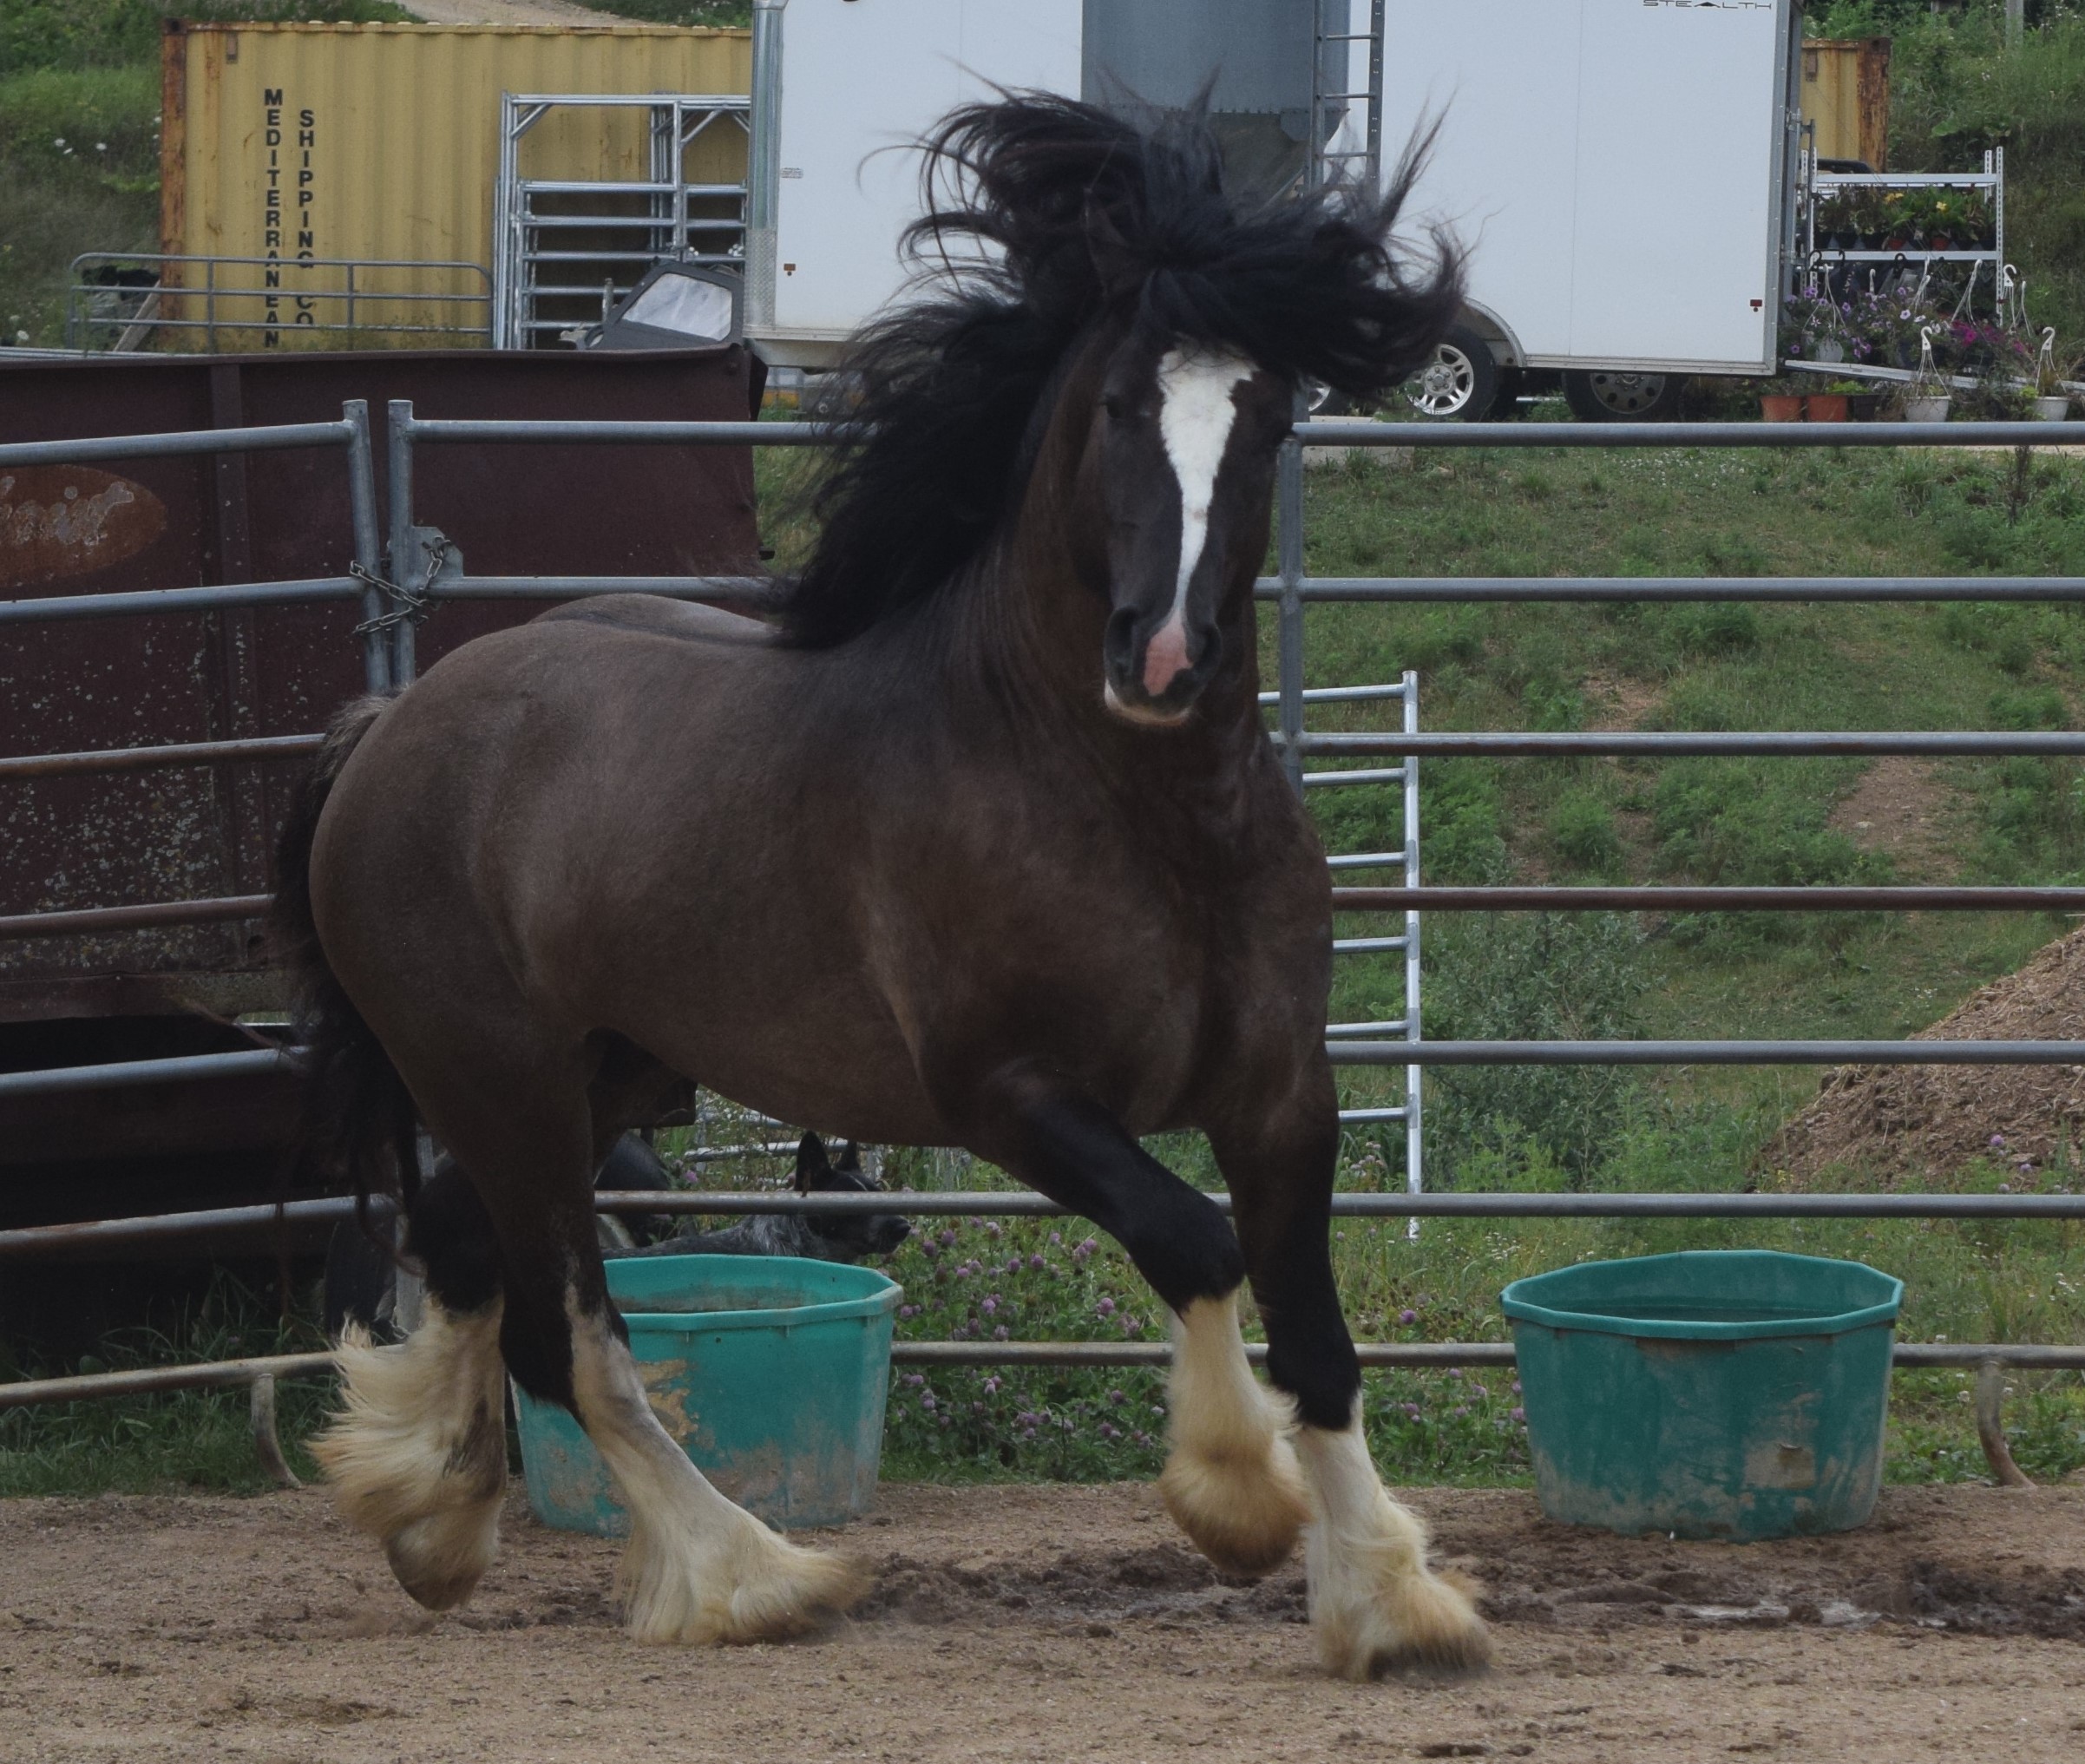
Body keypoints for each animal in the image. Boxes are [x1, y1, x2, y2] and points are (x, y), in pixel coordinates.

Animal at [275, 93, 1485, 1679]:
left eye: (1270, 416)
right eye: (1116, 405)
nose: (1160, 657)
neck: (1137, 812)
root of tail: (388, 726)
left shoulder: (1284, 1091)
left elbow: (1318, 1334)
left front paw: (1391, 1598)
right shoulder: (1004, 1093)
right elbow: (1193, 1240)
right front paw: (1235, 1500)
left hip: (609, 1074)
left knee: (470, 1259)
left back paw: (429, 1515)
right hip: (498, 1076)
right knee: (575, 1337)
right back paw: (750, 1575)